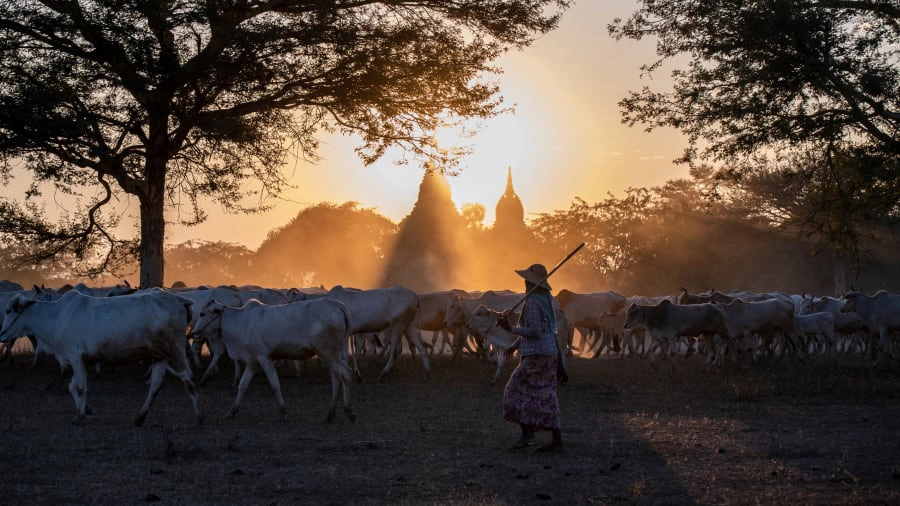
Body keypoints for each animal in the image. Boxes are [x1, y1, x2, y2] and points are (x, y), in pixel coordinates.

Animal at [0, 290, 199, 424]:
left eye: (9, 311)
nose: (1, 335)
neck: (56, 317)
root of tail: (178, 299)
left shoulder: (75, 356)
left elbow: (80, 387)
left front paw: (80, 416)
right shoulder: (81, 360)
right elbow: (72, 386)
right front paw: (87, 409)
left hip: (176, 349)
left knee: (188, 378)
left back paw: (199, 417)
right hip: (160, 355)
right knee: (156, 385)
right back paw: (139, 418)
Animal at [192, 298, 356, 422]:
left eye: (202, 313)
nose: (193, 333)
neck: (242, 323)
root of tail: (337, 305)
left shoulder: (263, 357)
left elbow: (275, 384)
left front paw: (283, 411)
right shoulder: (252, 361)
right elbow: (242, 385)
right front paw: (232, 411)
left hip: (327, 352)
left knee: (346, 374)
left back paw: (349, 411)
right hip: (335, 353)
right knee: (336, 378)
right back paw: (330, 414)